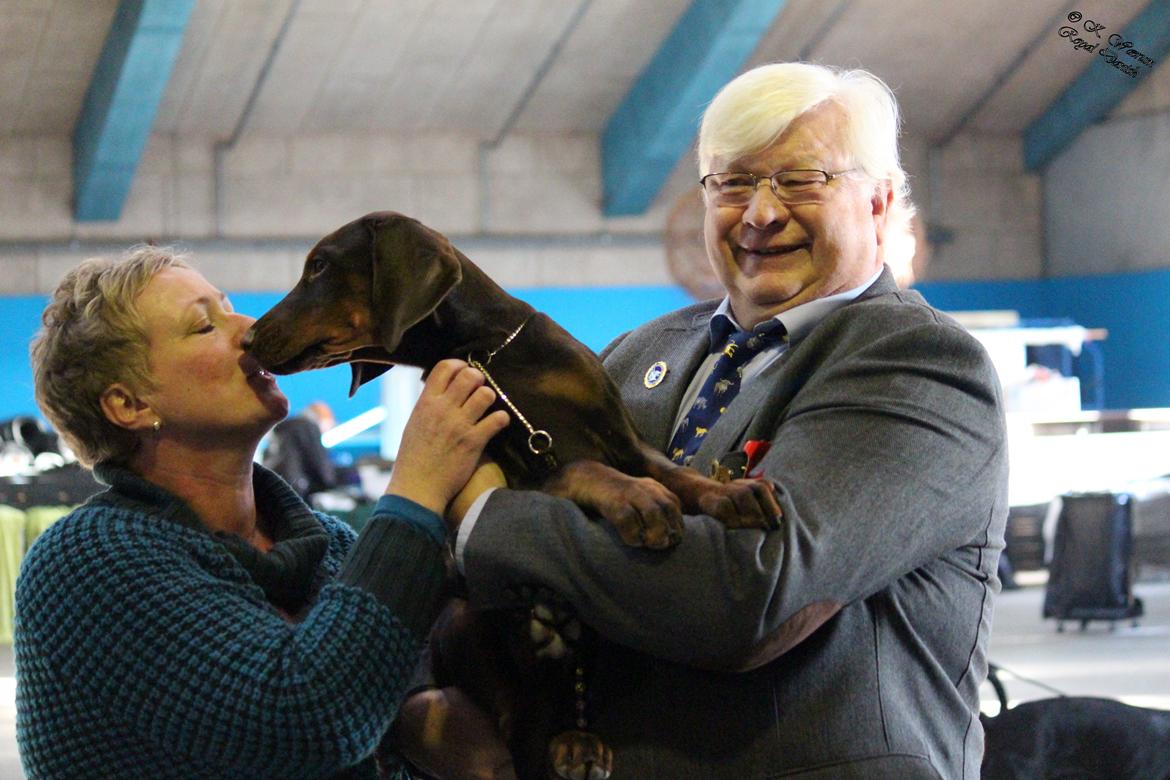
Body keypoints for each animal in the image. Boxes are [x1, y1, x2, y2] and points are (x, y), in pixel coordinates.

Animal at [243, 211, 781, 780]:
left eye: (320, 266)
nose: (248, 338)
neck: (485, 354)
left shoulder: (627, 441)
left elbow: (677, 475)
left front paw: (734, 493)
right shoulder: (518, 466)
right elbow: (582, 467)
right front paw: (640, 500)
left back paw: (576, 733)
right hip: (465, 622)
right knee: (512, 712)